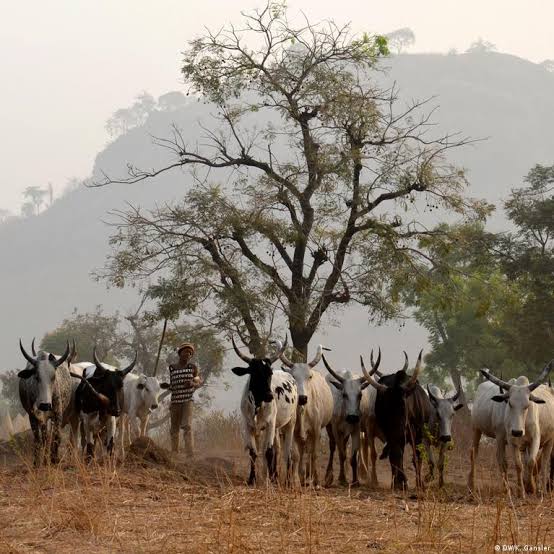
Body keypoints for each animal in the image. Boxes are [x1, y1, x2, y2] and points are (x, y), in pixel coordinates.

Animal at [230, 336, 296, 484]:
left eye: (269, 373)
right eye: (254, 373)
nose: (269, 395)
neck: (257, 404)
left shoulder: (270, 424)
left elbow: (269, 452)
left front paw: (271, 481)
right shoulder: (247, 425)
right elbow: (253, 452)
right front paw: (252, 479)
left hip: (290, 423)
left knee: (286, 452)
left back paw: (288, 481)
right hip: (274, 427)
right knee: (277, 449)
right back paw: (273, 475)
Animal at [276, 338, 332, 486]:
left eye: (309, 376)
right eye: (293, 376)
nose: (302, 398)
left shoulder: (316, 430)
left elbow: (314, 454)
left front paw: (315, 481)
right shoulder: (292, 430)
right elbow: (295, 455)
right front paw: (295, 480)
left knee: (309, 452)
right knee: (301, 452)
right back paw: (301, 476)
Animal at [320, 352, 376, 486]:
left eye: (360, 395)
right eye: (344, 394)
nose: (352, 416)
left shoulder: (356, 429)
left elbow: (353, 457)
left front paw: (355, 480)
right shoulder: (336, 429)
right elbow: (341, 454)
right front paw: (342, 478)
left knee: (344, 445)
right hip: (330, 428)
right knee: (333, 447)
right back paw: (329, 476)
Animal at [360, 350, 434, 488]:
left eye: (403, 405)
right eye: (385, 409)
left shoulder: (417, 432)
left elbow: (417, 456)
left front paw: (418, 483)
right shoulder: (391, 434)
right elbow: (396, 455)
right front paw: (400, 482)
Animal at [466, 362, 552, 496]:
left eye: (527, 405)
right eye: (510, 403)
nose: (517, 431)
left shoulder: (535, 438)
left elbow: (531, 462)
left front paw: (530, 487)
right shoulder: (505, 438)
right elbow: (513, 463)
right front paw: (518, 490)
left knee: (543, 463)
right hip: (476, 429)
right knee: (474, 453)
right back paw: (472, 485)